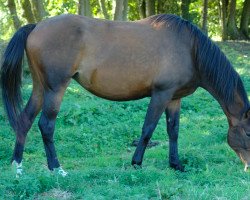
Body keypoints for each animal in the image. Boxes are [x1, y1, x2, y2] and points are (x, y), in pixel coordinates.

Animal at [0, 14, 250, 177]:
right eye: (247, 132)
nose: (248, 167)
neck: (190, 49)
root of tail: (36, 26)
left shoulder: (174, 98)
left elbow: (174, 131)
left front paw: (176, 165)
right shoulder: (161, 94)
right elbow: (148, 129)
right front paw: (136, 163)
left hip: (40, 88)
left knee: (25, 120)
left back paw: (17, 165)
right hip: (55, 89)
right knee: (46, 125)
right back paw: (56, 168)